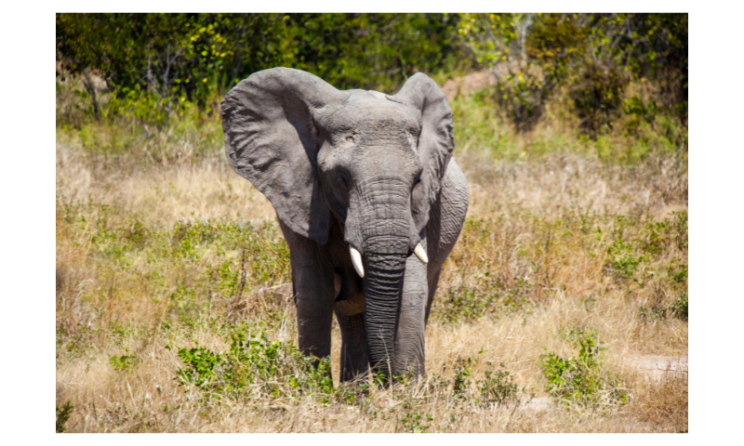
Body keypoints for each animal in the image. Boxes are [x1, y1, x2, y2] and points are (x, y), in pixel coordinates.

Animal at [221, 68, 468, 382]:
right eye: (341, 177)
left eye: (417, 179)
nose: (386, 379)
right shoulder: (301, 201)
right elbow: (314, 295)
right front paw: (315, 388)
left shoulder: (421, 211)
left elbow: (411, 292)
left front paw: (406, 391)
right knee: (349, 316)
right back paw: (356, 388)